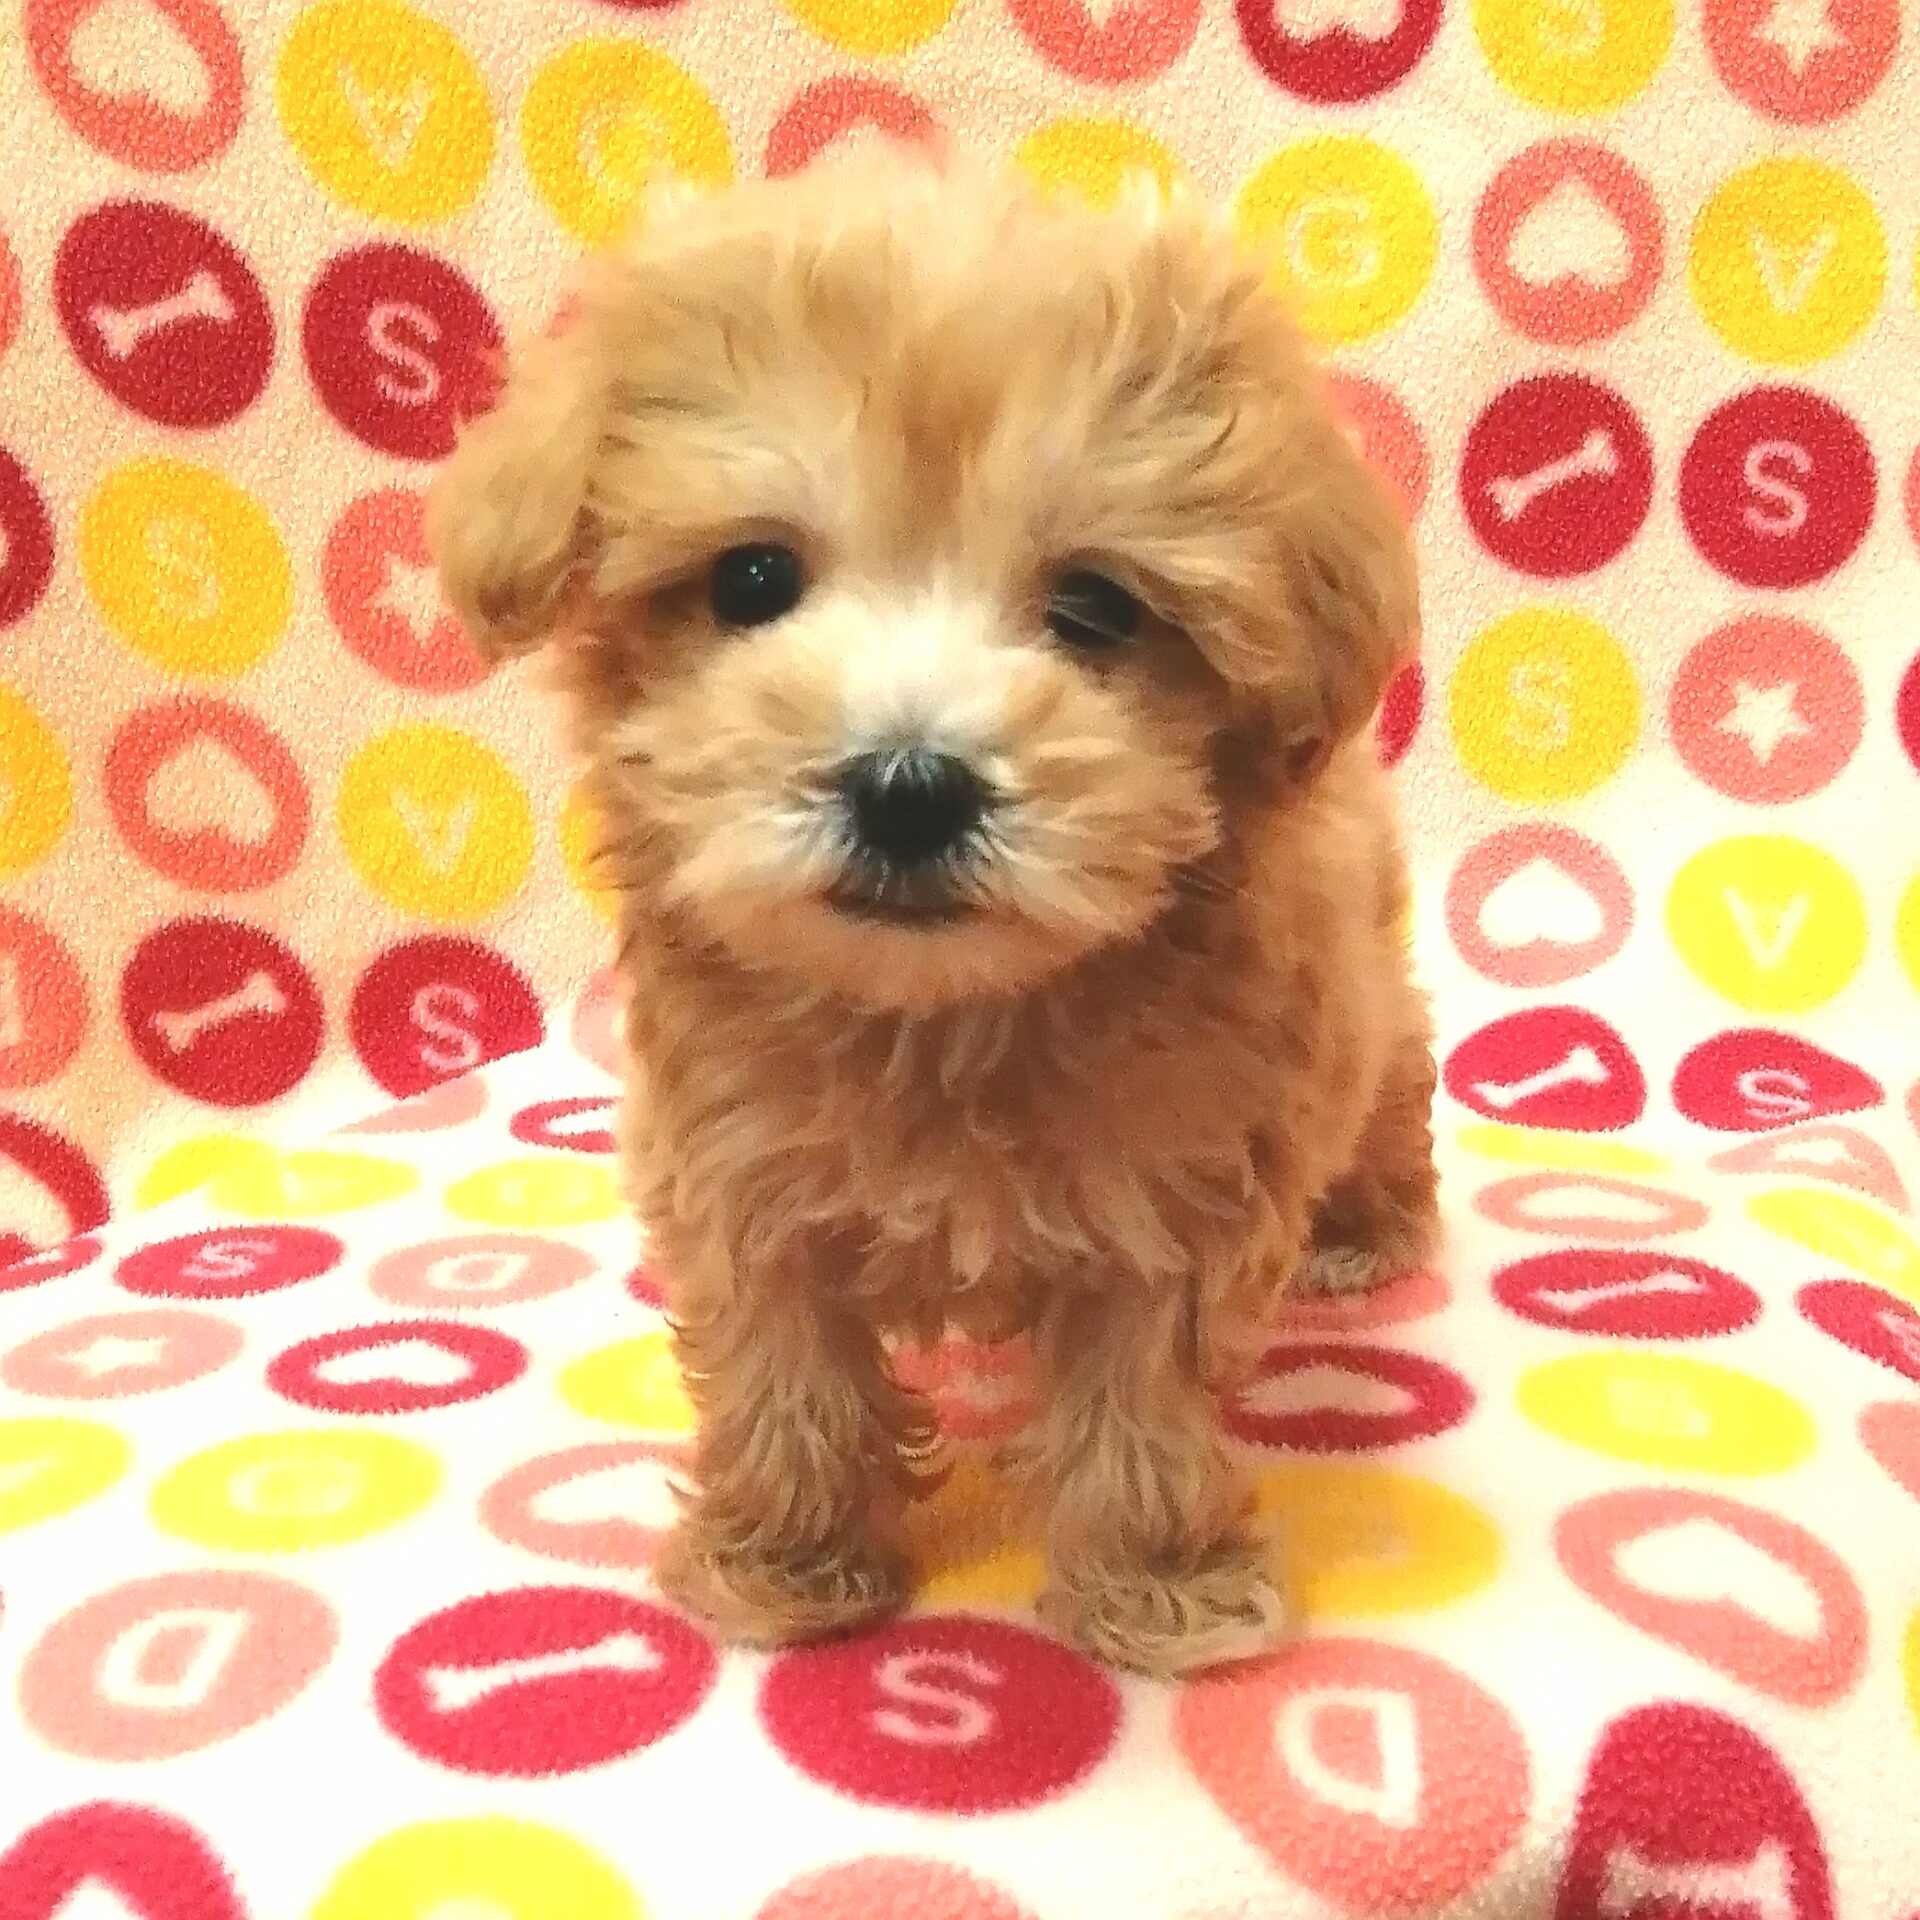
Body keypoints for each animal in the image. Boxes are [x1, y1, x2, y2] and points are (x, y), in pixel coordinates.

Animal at [429, 154, 1437, 1676]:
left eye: (1097, 608)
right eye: (751, 580)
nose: (909, 789)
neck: (941, 1020)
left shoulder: (1183, 1188)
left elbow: (1142, 1405)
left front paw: (1160, 1589)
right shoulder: (735, 1171)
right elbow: (785, 1376)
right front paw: (784, 1559)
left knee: (1392, 1095)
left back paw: (1364, 1231)